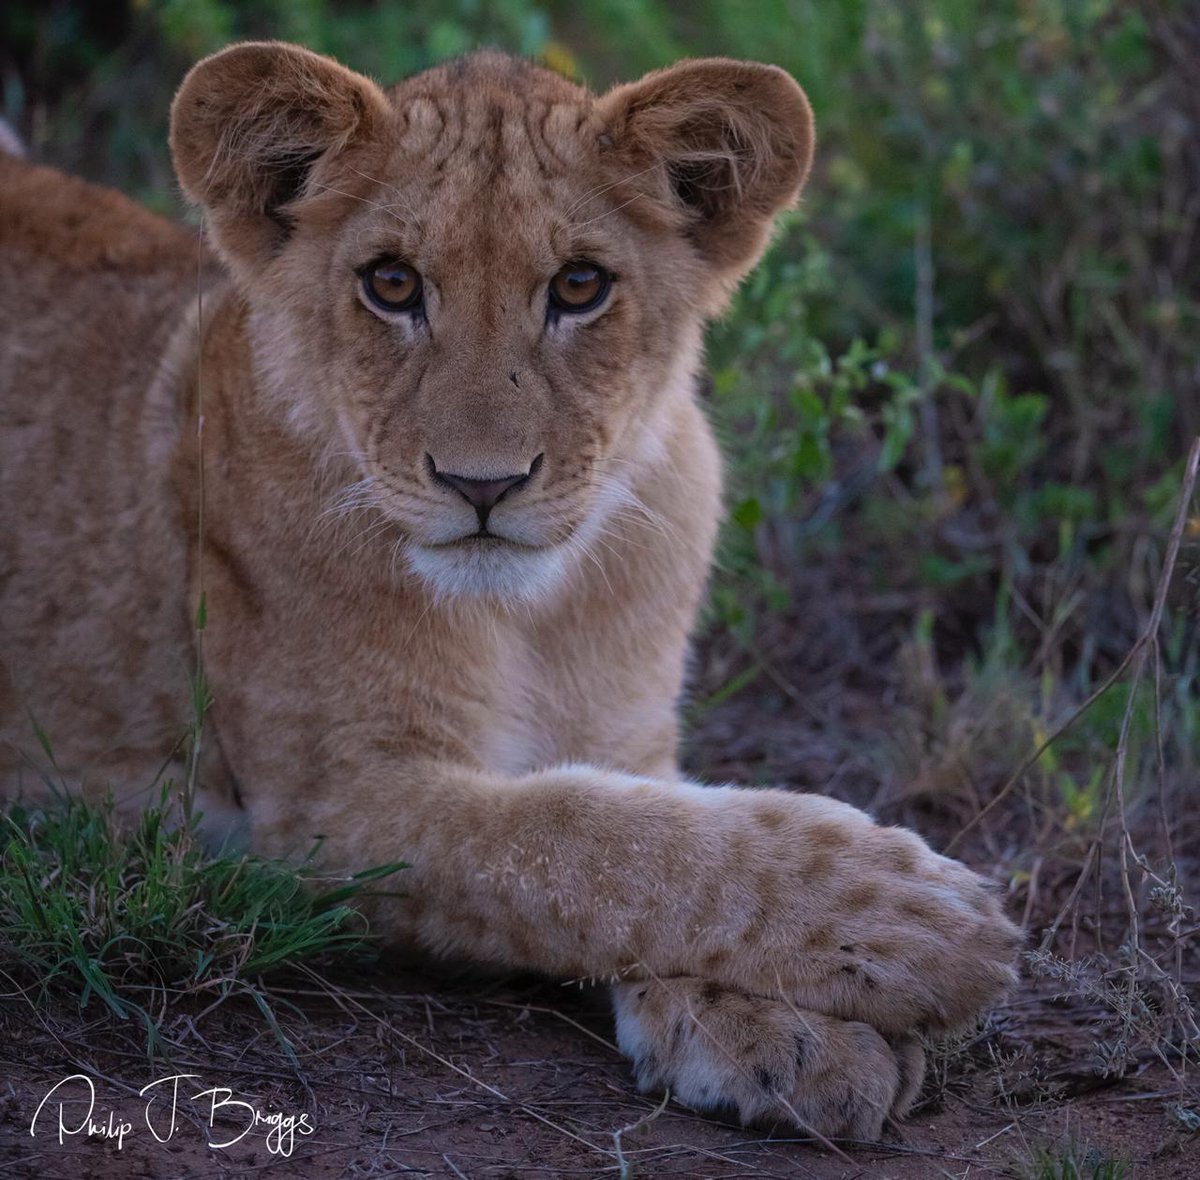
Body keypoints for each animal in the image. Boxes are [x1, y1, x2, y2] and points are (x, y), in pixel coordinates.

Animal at [0, 42, 1020, 1138]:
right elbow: (585, 842)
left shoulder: (631, 737)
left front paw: (787, 1026)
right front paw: (914, 923)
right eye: (391, 283)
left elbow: (667, 819)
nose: (481, 484)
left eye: (579, 286)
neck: (531, 616)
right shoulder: (319, 814)